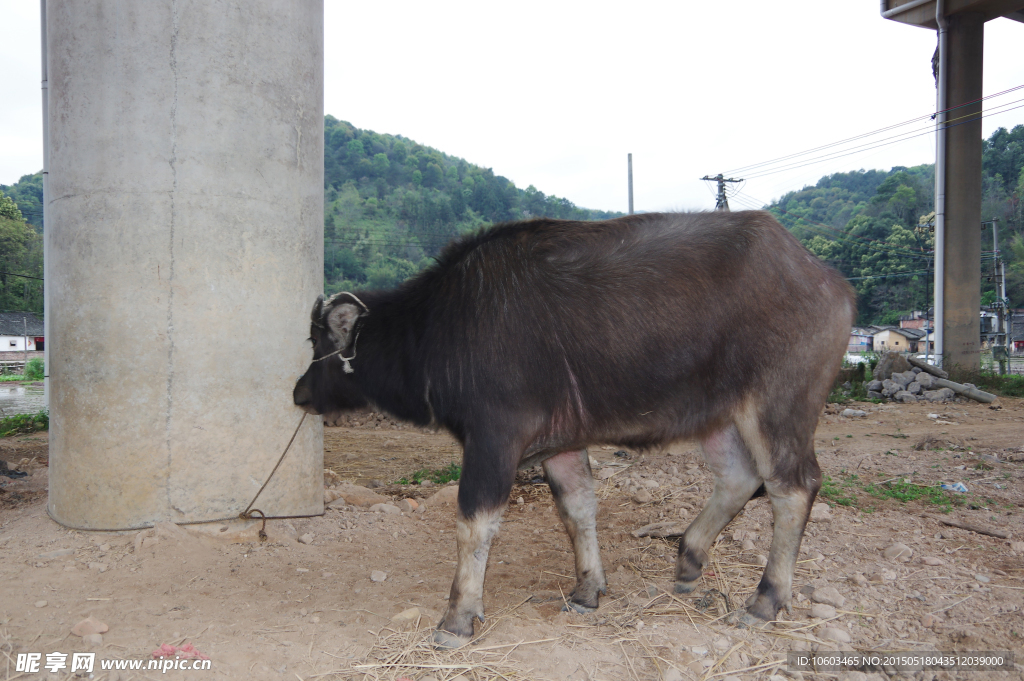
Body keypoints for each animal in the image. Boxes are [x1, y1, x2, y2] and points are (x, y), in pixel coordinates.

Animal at [292, 213, 851, 647]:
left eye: (317, 340)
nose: (299, 393)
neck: (438, 326)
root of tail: (826, 278)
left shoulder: (494, 438)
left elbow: (474, 524)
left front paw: (457, 617)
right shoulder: (561, 444)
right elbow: (578, 508)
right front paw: (587, 589)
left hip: (778, 408)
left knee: (791, 487)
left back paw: (764, 600)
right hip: (720, 416)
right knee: (739, 477)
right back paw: (689, 557)